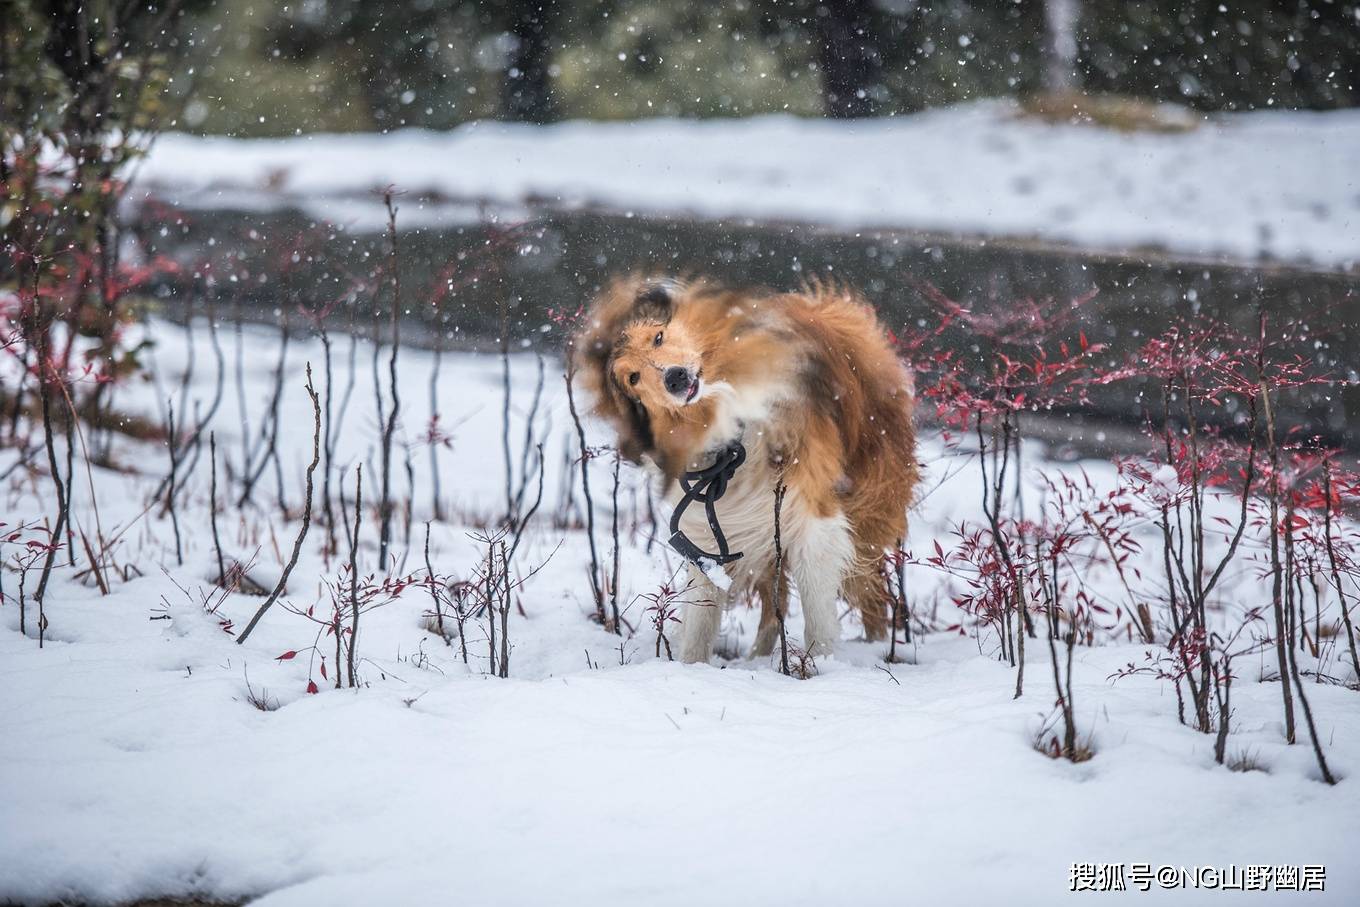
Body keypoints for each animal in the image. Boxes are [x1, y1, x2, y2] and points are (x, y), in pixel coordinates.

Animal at [568, 273, 919, 663]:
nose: (675, 378)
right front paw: (690, 669)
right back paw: (760, 657)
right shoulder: (712, 529)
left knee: (870, 590)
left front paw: (819, 664)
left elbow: (816, 608)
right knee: (776, 598)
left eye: (658, 337)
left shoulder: (811, 512)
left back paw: (876, 648)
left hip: (864, 512)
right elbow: (700, 621)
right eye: (633, 378)